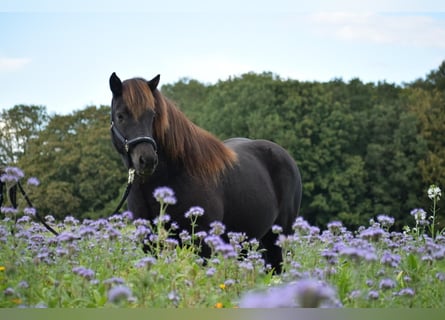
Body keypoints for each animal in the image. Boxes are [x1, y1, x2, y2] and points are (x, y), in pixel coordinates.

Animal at [109, 71, 302, 272]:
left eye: (152, 115)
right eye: (120, 116)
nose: (147, 160)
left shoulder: (202, 245)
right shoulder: (149, 242)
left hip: (279, 238)